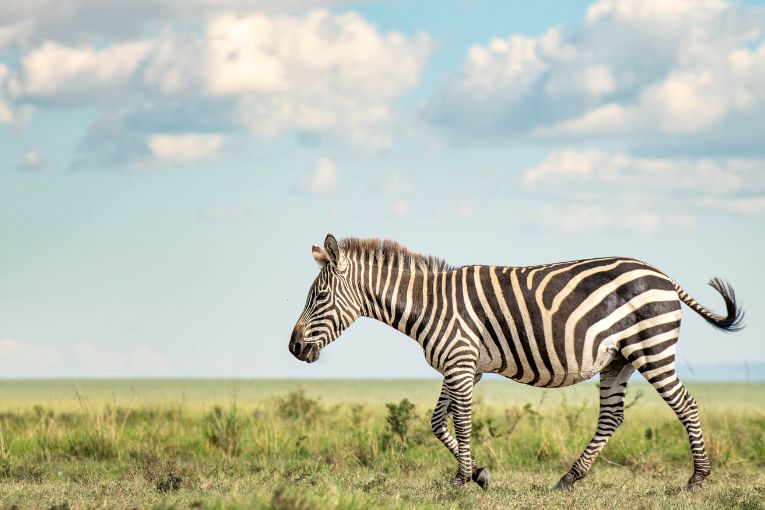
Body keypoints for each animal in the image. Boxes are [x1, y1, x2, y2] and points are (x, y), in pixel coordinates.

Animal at [290, 234, 744, 490]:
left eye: (319, 297)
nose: (294, 348)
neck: (430, 305)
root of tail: (662, 275)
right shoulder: (463, 365)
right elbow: (438, 422)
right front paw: (477, 474)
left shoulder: (460, 361)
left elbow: (461, 421)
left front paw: (461, 482)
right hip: (618, 359)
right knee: (612, 417)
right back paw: (569, 479)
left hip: (652, 348)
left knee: (685, 405)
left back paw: (697, 479)